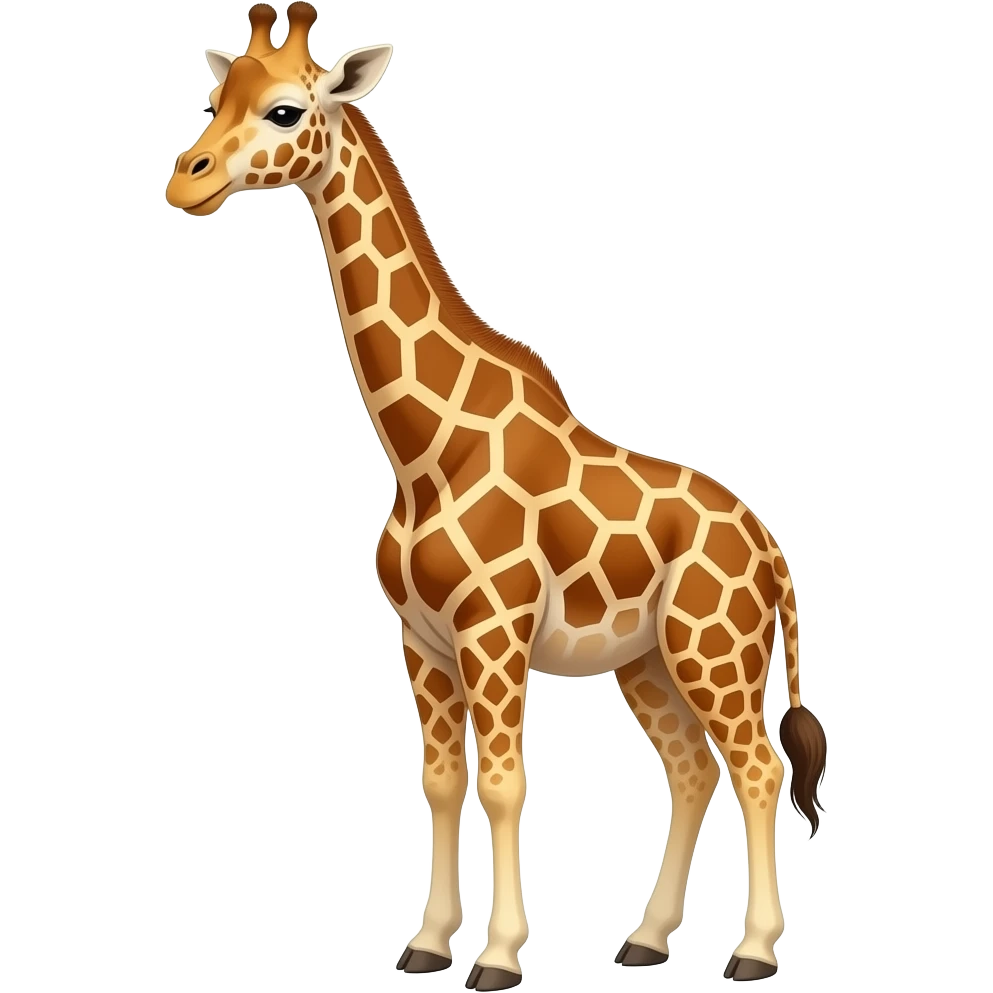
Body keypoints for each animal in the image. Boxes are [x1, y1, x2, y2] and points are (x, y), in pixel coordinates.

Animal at [164, 4, 829, 988]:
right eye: (216, 99)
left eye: (286, 110)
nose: (187, 178)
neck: (422, 453)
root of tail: (774, 554)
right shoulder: (421, 641)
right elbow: (442, 783)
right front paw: (427, 942)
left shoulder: (494, 631)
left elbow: (506, 783)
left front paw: (499, 956)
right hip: (646, 659)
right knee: (690, 767)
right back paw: (644, 939)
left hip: (716, 649)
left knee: (758, 767)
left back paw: (749, 951)